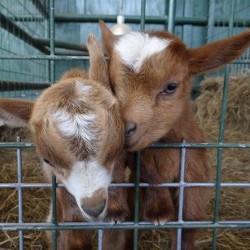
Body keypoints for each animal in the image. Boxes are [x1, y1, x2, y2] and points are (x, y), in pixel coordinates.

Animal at [99, 20, 250, 249]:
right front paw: (159, 209)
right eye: (113, 85)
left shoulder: (195, 182)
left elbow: (186, 231)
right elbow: (145, 170)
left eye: (171, 87)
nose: (122, 129)